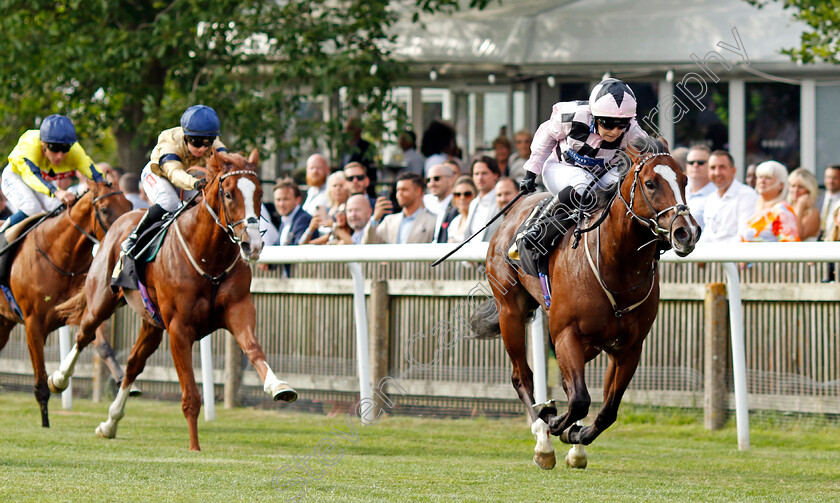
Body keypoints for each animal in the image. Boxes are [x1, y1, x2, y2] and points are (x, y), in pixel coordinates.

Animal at [0, 179, 132, 428]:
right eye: (104, 209)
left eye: (129, 203)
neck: (60, 256)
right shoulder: (33, 324)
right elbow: (41, 382)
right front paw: (45, 423)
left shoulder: (82, 311)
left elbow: (100, 344)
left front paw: (123, 380)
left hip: (4, 322)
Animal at [50, 150, 298, 452]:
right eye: (228, 194)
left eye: (260, 193)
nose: (253, 245)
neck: (209, 258)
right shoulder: (179, 328)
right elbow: (190, 394)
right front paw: (194, 447)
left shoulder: (238, 309)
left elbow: (253, 348)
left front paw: (279, 387)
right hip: (102, 300)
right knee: (84, 334)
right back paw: (58, 379)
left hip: (152, 323)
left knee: (133, 363)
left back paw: (110, 424)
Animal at [472, 137, 704, 468]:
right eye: (650, 183)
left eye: (685, 180)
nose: (687, 232)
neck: (617, 266)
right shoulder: (566, 333)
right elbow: (580, 399)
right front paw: (554, 422)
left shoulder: (628, 347)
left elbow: (607, 409)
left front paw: (577, 437)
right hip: (511, 311)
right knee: (522, 377)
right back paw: (543, 439)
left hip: (589, 343)